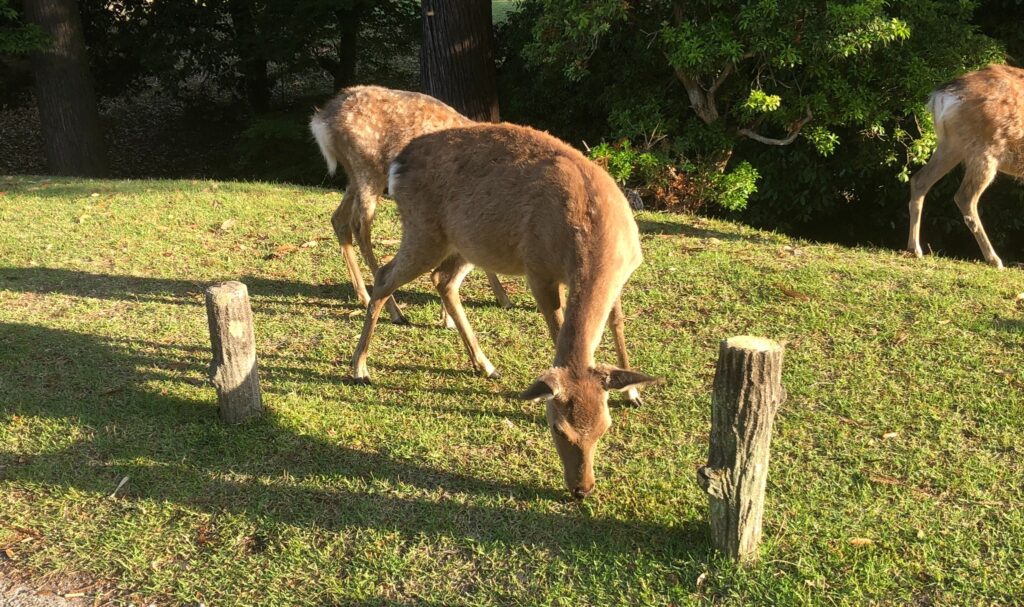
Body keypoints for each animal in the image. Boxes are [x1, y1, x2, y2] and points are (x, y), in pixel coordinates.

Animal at [309, 85, 511, 325]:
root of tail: (322, 121)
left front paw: (500, 300)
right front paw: (448, 318)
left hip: (354, 176)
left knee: (338, 218)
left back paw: (364, 297)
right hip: (367, 166)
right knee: (359, 227)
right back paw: (394, 311)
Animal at [346, 122, 660, 500]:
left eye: (604, 427)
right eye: (557, 427)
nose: (581, 489)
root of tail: (397, 164)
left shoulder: (623, 277)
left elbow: (617, 323)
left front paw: (634, 393)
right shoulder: (538, 270)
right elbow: (557, 331)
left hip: (464, 243)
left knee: (442, 280)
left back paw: (485, 365)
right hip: (424, 231)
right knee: (385, 276)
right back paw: (360, 368)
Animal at [908, 64, 1024, 270]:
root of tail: (942, 95)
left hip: (951, 144)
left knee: (919, 180)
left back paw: (915, 249)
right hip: (985, 150)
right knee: (964, 197)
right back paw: (995, 259)